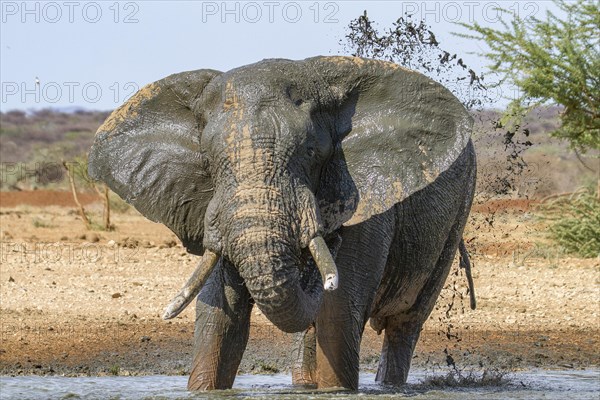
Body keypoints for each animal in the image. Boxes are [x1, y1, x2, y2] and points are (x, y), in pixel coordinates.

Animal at [89, 56, 476, 390]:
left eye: (311, 153)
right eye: (210, 162)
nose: (329, 240)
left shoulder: (366, 203)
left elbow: (338, 316)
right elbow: (219, 321)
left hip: (458, 210)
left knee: (404, 324)